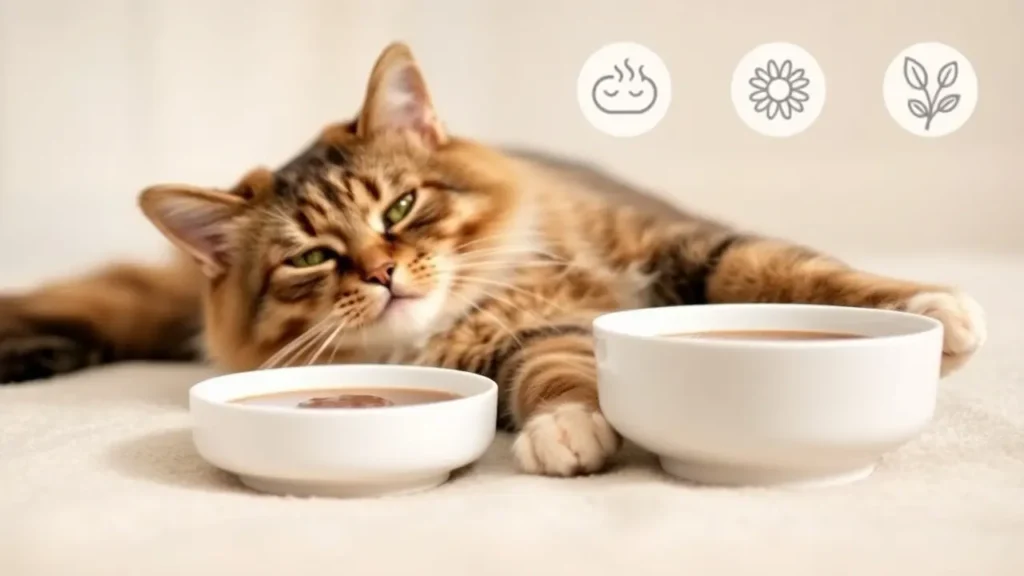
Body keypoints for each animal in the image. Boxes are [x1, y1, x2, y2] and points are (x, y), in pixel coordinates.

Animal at [2, 42, 991, 475]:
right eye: (314, 258)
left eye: (400, 208)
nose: (382, 272)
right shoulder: (525, 339)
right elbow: (558, 375)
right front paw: (572, 431)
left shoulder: (672, 246)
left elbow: (784, 271)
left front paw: (932, 310)